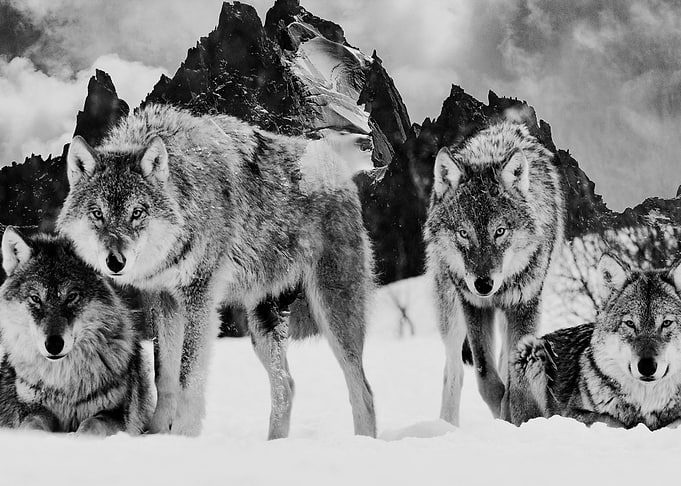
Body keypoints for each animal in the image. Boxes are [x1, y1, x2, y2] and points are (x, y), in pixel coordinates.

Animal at [0, 227, 155, 435]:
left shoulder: (115, 414)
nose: (54, 344)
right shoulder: (30, 408)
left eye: (72, 297)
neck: (64, 384)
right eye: (35, 298)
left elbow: (92, 424)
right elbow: (34, 423)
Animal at [57, 104, 376, 438]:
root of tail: (336, 166)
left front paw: (183, 435)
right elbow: (163, 375)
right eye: (97, 214)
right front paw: (157, 433)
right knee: (286, 385)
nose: (115, 262)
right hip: (261, 322)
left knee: (363, 391)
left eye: (137, 213)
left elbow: (188, 377)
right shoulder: (163, 299)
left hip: (333, 312)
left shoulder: (200, 296)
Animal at [424, 121, 564, 425]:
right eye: (463, 233)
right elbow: (485, 376)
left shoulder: (525, 305)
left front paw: (512, 415)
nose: (483, 284)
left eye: (499, 231)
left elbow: (513, 376)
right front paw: (501, 413)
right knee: (454, 370)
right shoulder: (474, 305)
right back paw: (446, 426)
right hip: (450, 310)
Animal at [512, 254, 681, 430]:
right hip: (530, 349)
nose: (647, 367)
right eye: (630, 323)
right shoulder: (571, 413)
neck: (646, 403)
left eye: (666, 323)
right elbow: (612, 420)